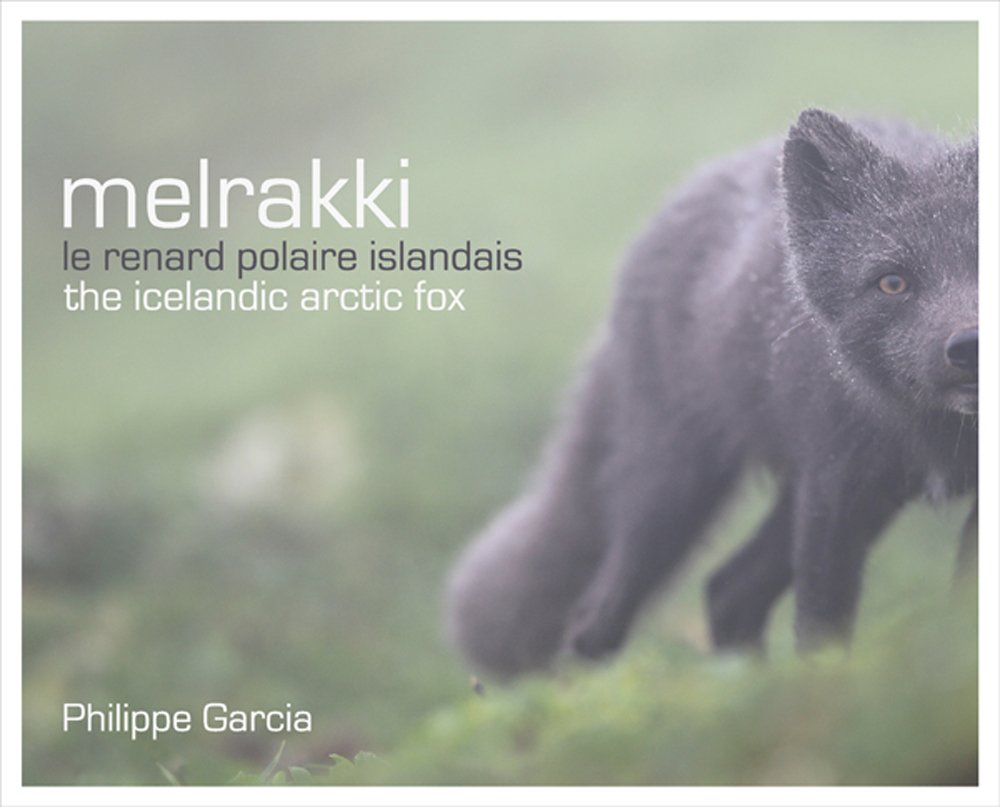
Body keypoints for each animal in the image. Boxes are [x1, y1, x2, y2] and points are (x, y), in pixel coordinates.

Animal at [446, 109, 978, 679]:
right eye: (892, 283)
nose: (969, 347)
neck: (940, 436)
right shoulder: (836, 492)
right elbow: (821, 638)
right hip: (672, 495)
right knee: (596, 622)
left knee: (728, 590)